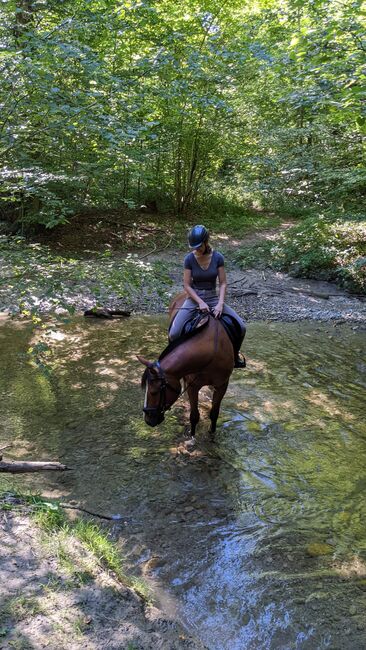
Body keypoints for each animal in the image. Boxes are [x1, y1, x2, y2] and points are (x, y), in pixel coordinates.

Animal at [137, 292, 234, 438]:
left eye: (154, 392)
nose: (147, 420)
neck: (212, 351)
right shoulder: (193, 386)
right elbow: (194, 416)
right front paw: (192, 437)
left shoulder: (222, 385)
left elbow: (214, 413)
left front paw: (211, 433)